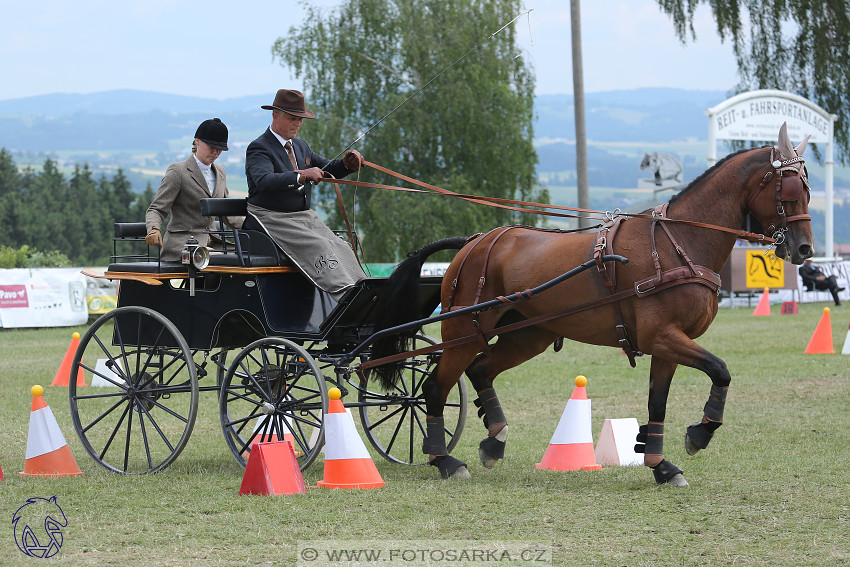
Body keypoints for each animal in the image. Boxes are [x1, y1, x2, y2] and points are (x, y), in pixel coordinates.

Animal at [368, 124, 812, 488]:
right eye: (791, 191)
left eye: (808, 190)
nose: (804, 249)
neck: (677, 244)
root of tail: (474, 241)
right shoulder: (663, 337)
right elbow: (720, 370)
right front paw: (698, 435)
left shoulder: (667, 344)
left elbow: (658, 401)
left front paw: (660, 464)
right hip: (463, 330)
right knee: (434, 387)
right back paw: (444, 459)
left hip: (527, 335)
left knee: (480, 371)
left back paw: (494, 440)